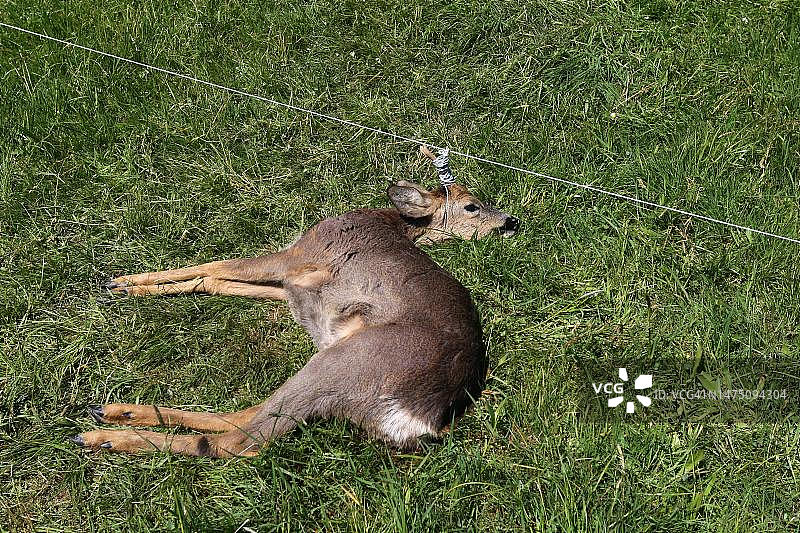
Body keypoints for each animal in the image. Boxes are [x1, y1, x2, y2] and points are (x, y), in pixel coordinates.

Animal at [70, 147, 520, 458]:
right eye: (473, 205)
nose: (511, 220)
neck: (389, 221)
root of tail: (427, 418)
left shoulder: (300, 255)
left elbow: (217, 264)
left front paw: (123, 283)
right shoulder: (295, 285)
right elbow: (215, 280)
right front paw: (128, 286)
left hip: (345, 361)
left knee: (238, 441)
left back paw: (102, 436)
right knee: (245, 416)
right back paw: (113, 412)